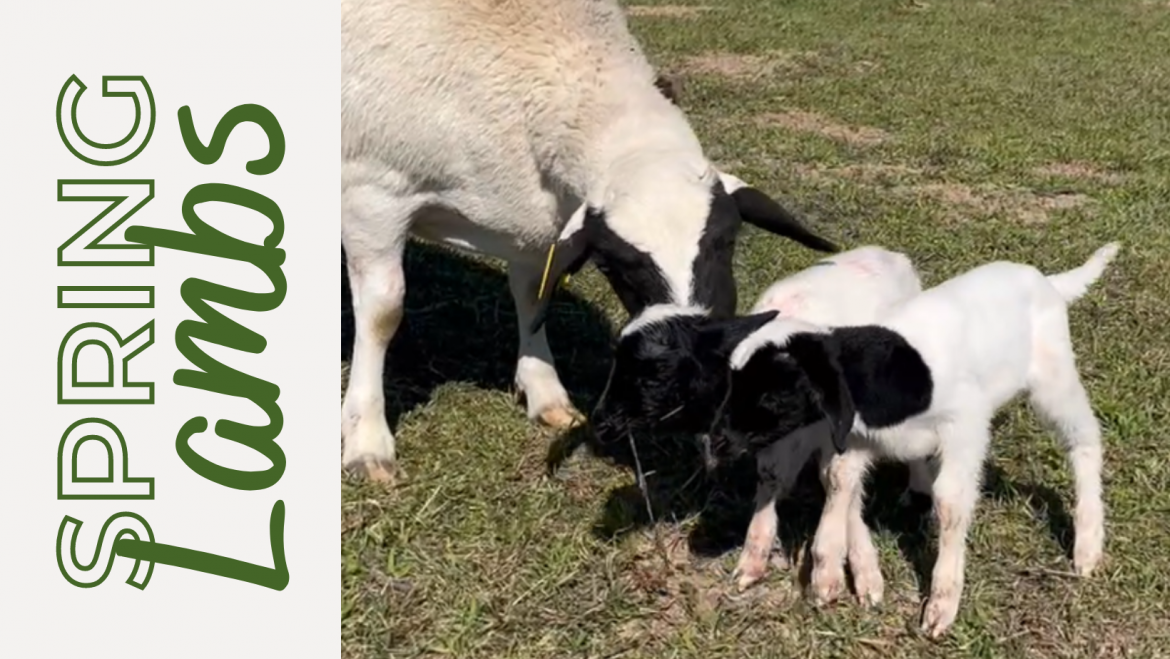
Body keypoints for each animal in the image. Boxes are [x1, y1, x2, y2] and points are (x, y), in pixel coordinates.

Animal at [340, 0, 837, 482]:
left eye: (728, 240)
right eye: (617, 264)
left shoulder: (540, 223)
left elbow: (535, 295)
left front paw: (544, 391)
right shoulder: (373, 195)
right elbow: (384, 313)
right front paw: (367, 440)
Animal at [583, 247, 926, 588]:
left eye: (657, 373)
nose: (600, 423)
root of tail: (889, 254)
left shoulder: (844, 430)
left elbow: (839, 482)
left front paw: (841, 570)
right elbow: (774, 477)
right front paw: (754, 557)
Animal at [713, 242, 1120, 637]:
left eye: (772, 396)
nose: (716, 442)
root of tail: (1046, 281)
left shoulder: (966, 425)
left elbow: (951, 500)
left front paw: (941, 604)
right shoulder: (854, 438)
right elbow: (839, 480)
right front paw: (827, 574)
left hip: (1054, 376)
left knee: (1084, 438)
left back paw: (1087, 544)